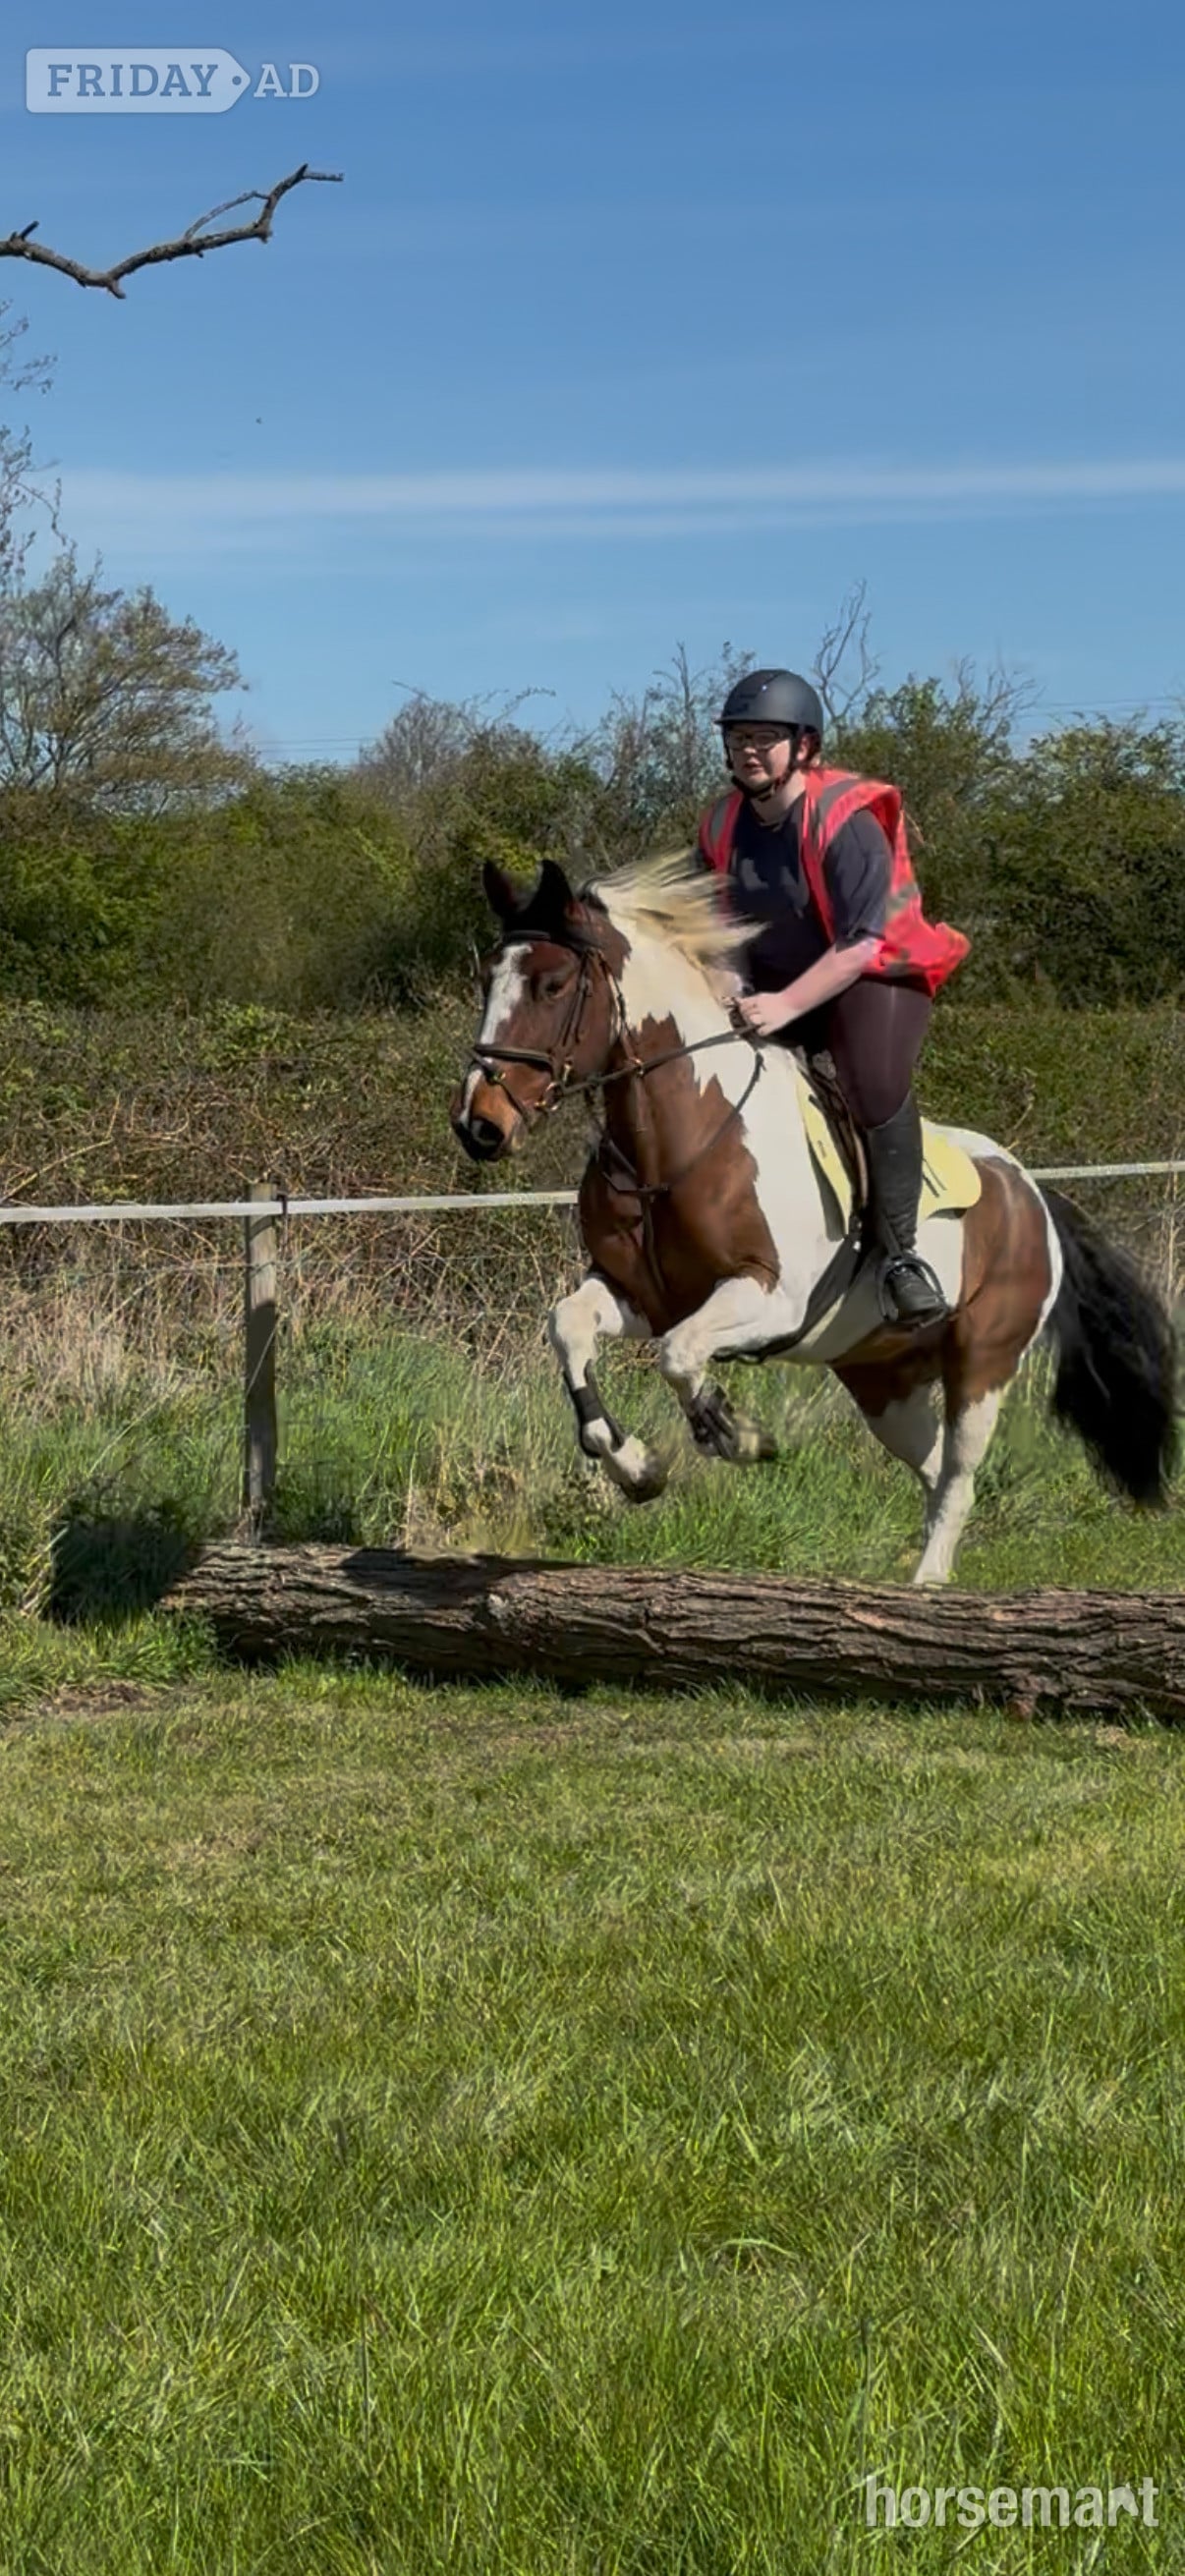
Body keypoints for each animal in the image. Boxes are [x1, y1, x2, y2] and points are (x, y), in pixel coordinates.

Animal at [450, 852, 1177, 1585]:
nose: (479, 1125)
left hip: (983, 1361)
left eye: (552, 985)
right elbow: (570, 1328)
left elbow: (679, 1352)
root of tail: (1032, 1193)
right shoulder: (640, 1295)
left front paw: (736, 1433)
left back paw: (925, 1586)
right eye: (487, 980)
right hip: (884, 1379)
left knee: (960, 1476)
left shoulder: (771, 1298)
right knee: (934, 1469)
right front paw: (637, 1468)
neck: (676, 1141)